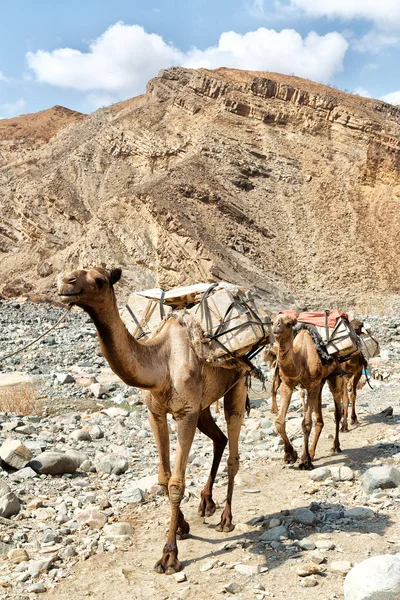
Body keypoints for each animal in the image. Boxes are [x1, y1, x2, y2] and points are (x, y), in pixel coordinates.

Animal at [57, 268, 250, 576]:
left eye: (99, 280)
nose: (66, 282)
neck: (161, 364)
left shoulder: (185, 414)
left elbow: (176, 483)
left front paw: (169, 556)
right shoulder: (155, 412)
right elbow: (163, 478)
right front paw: (182, 526)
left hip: (237, 384)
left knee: (233, 451)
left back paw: (225, 519)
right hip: (204, 405)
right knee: (218, 438)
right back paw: (206, 503)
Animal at [272, 312, 344, 472]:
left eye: (288, 323)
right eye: (272, 321)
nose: (276, 328)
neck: (301, 357)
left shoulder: (312, 385)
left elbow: (306, 423)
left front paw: (305, 461)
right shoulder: (287, 385)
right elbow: (279, 421)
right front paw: (290, 455)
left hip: (334, 376)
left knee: (337, 412)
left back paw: (335, 446)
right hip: (320, 383)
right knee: (320, 419)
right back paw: (312, 452)